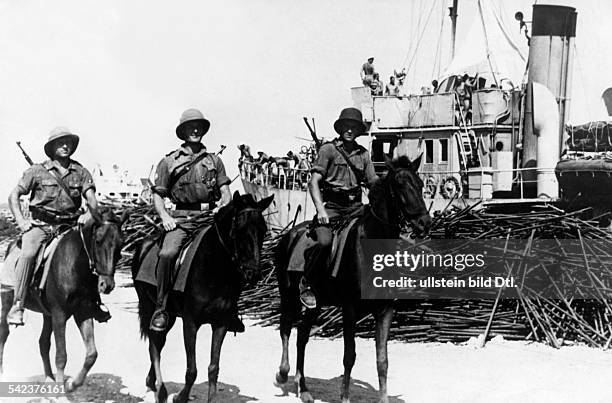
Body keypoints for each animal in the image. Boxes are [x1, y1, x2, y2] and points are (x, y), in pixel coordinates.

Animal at [0, 208, 127, 392]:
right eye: (97, 240)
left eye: (121, 244)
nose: (107, 285)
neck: (74, 264)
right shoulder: (60, 314)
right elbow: (61, 356)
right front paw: (61, 392)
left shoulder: (83, 312)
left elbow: (91, 354)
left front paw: (72, 383)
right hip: (8, 301)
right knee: (4, 334)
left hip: (47, 314)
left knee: (43, 343)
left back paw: (49, 378)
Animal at [133, 193, 274, 403]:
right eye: (239, 229)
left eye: (263, 230)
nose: (253, 273)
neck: (214, 268)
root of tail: (144, 244)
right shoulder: (190, 322)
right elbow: (192, 369)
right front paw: (180, 397)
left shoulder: (221, 323)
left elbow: (213, 367)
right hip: (149, 306)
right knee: (154, 344)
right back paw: (161, 390)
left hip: (171, 315)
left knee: (159, 342)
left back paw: (152, 382)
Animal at [272, 155, 430, 403]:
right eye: (400, 185)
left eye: (420, 184)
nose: (424, 223)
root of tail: (290, 234)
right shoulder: (350, 308)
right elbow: (349, 355)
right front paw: (345, 397)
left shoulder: (385, 309)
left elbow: (382, 360)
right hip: (289, 296)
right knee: (286, 328)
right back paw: (283, 373)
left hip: (317, 304)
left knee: (302, 336)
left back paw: (303, 388)